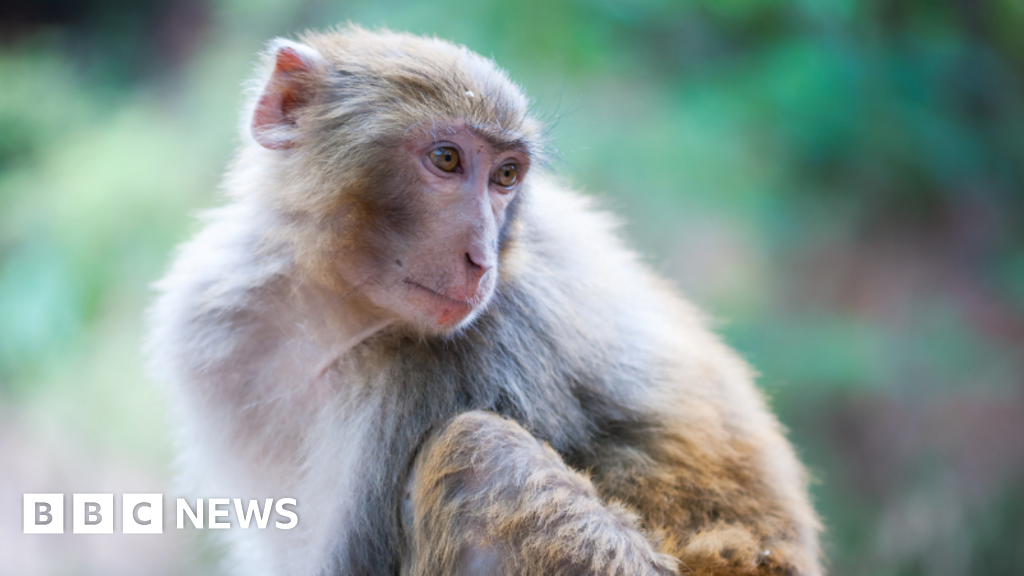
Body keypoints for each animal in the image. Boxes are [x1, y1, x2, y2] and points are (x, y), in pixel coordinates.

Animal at [147, 25, 822, 576]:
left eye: (505, 176)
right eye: (446, 159)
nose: (483, 260)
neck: (333, 307)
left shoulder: (462, 363)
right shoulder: (213, 324)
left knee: (480, 455)